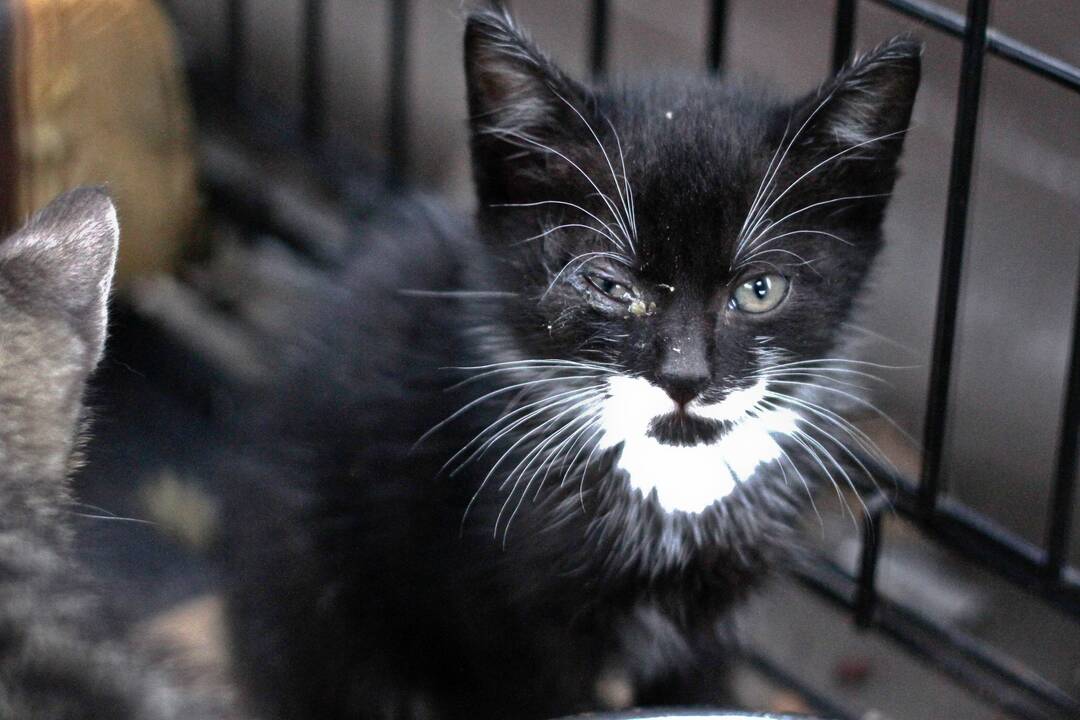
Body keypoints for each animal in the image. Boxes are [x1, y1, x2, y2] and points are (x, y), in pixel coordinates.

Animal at [225, 7, 920, 720]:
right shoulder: (495, 616)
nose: (686, 376)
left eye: (760, 290)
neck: (672, 484)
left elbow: (698, 687)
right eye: (611, 286)